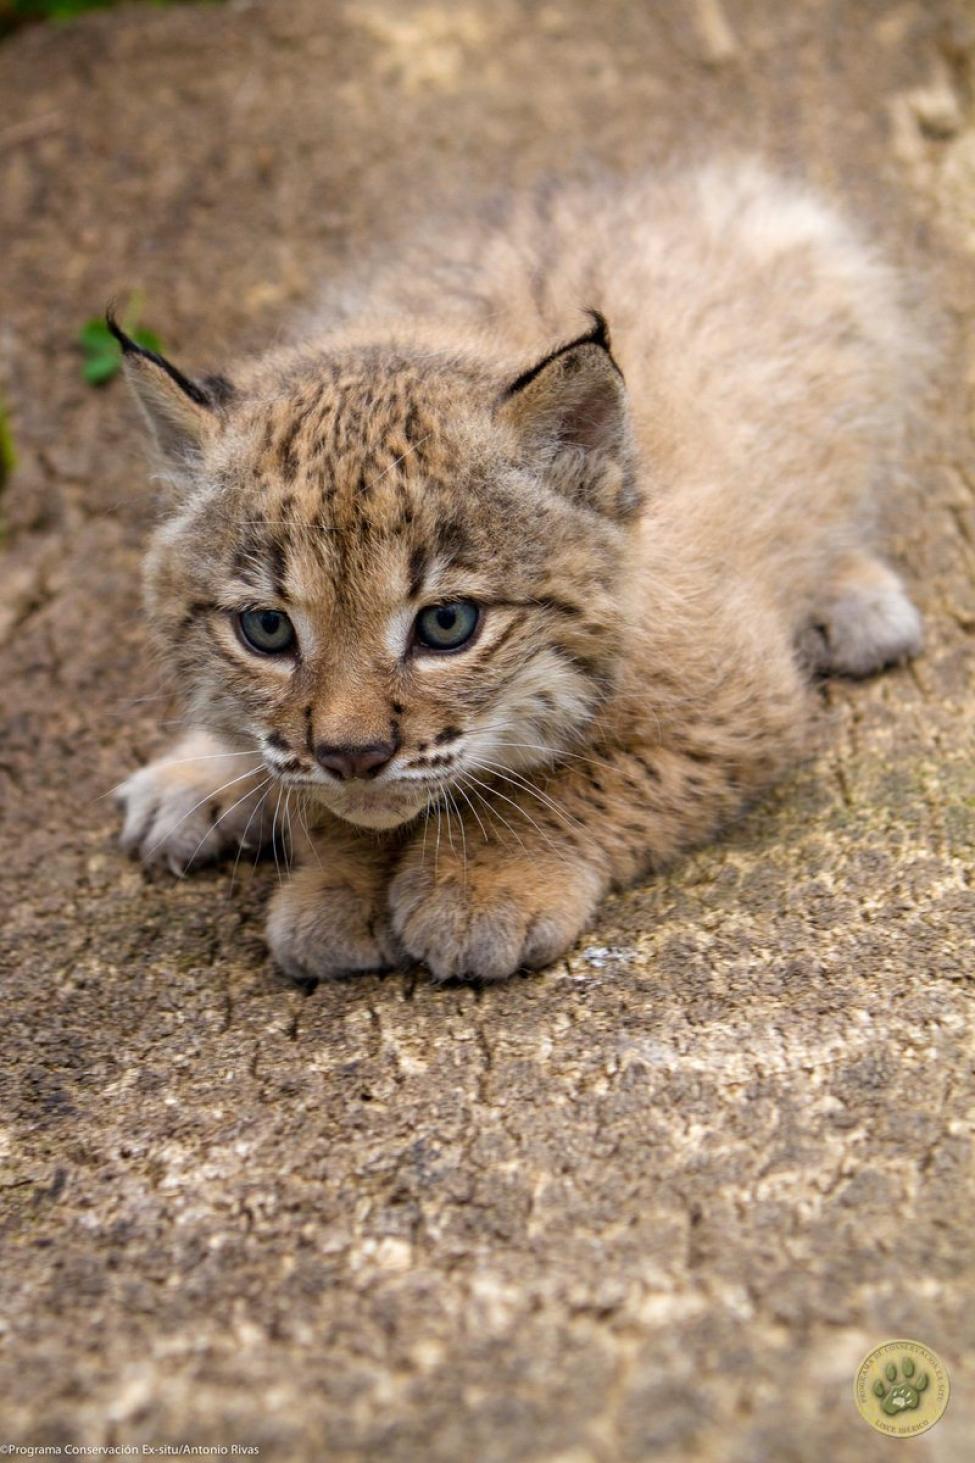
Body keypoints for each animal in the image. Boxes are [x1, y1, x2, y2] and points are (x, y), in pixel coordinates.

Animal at [114, 160, 919, 983]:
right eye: (268, 630)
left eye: (448, 624)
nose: (352, 758)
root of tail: (603, 183)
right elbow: (323, 802)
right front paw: (342, 875)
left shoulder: (743, 709)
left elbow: (570, 784)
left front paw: (483, 883)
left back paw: (852, 598)